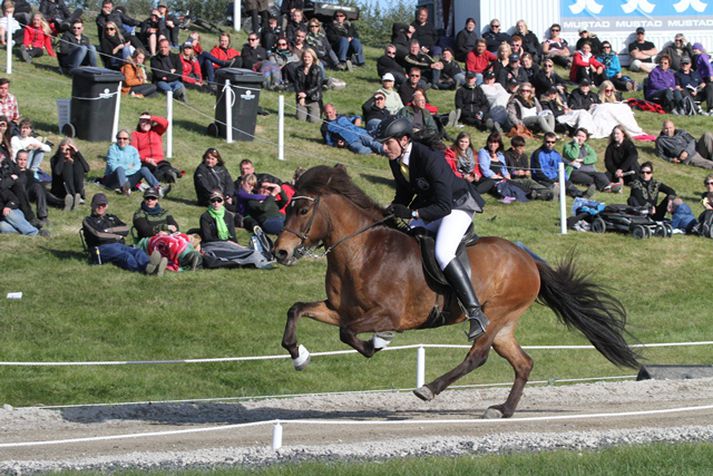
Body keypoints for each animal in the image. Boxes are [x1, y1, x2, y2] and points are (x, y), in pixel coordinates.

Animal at [274, 165, 640, 418]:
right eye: (286, 207)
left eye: (302, 210)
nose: (280, 252)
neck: (361, 251)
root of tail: (529, 259)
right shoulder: (339, 309)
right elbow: (297, 309)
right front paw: (299, 356)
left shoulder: (388, 314)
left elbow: (350, 335)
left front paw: (378, 342)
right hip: (505, 324)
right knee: (523, 363)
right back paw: (503, 410)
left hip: (494, 315)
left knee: (477, 356)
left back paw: (428, 389)